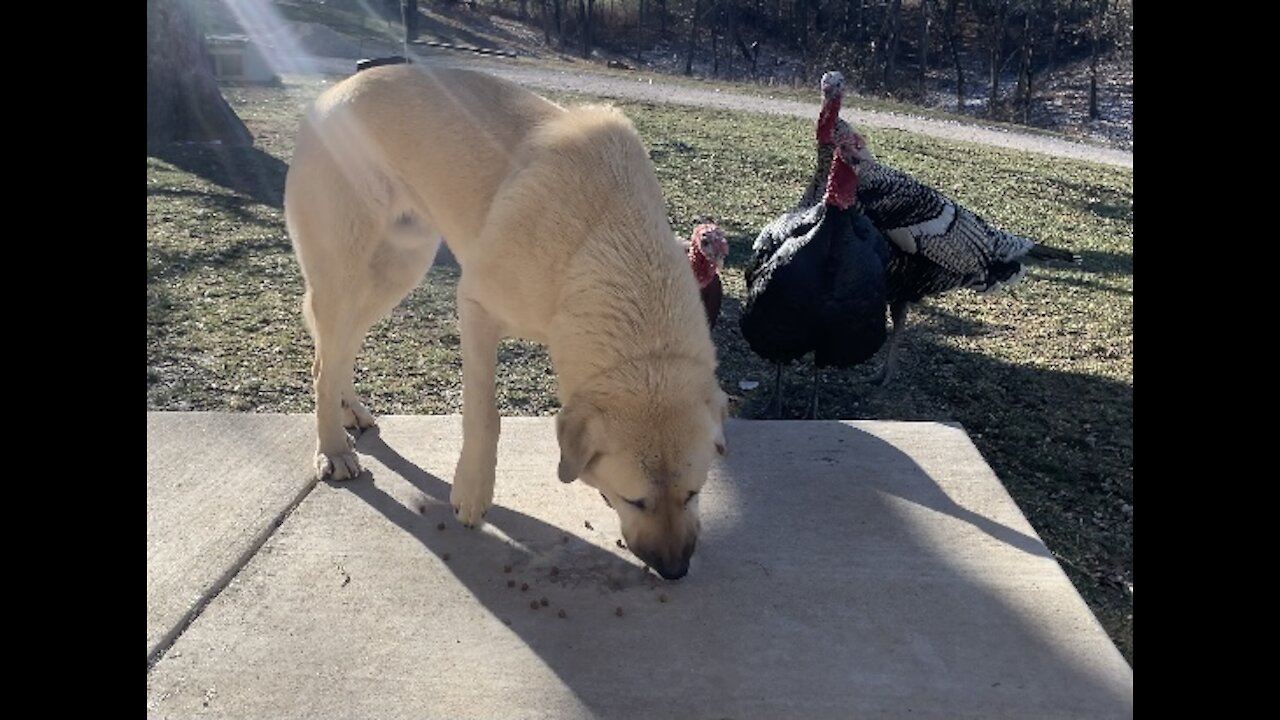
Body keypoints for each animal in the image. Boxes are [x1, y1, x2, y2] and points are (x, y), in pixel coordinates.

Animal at [289, 64, 732, 573]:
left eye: (694, 494)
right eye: (633, 500)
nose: (675, 571)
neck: (601, 243)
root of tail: (331, 93)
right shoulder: (476, 308)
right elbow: (485, 416)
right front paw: (472, 495)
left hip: (397, 271)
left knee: (340, 351)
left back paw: (350, 410)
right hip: (345, 275)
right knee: (322, 364)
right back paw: (333, 449)